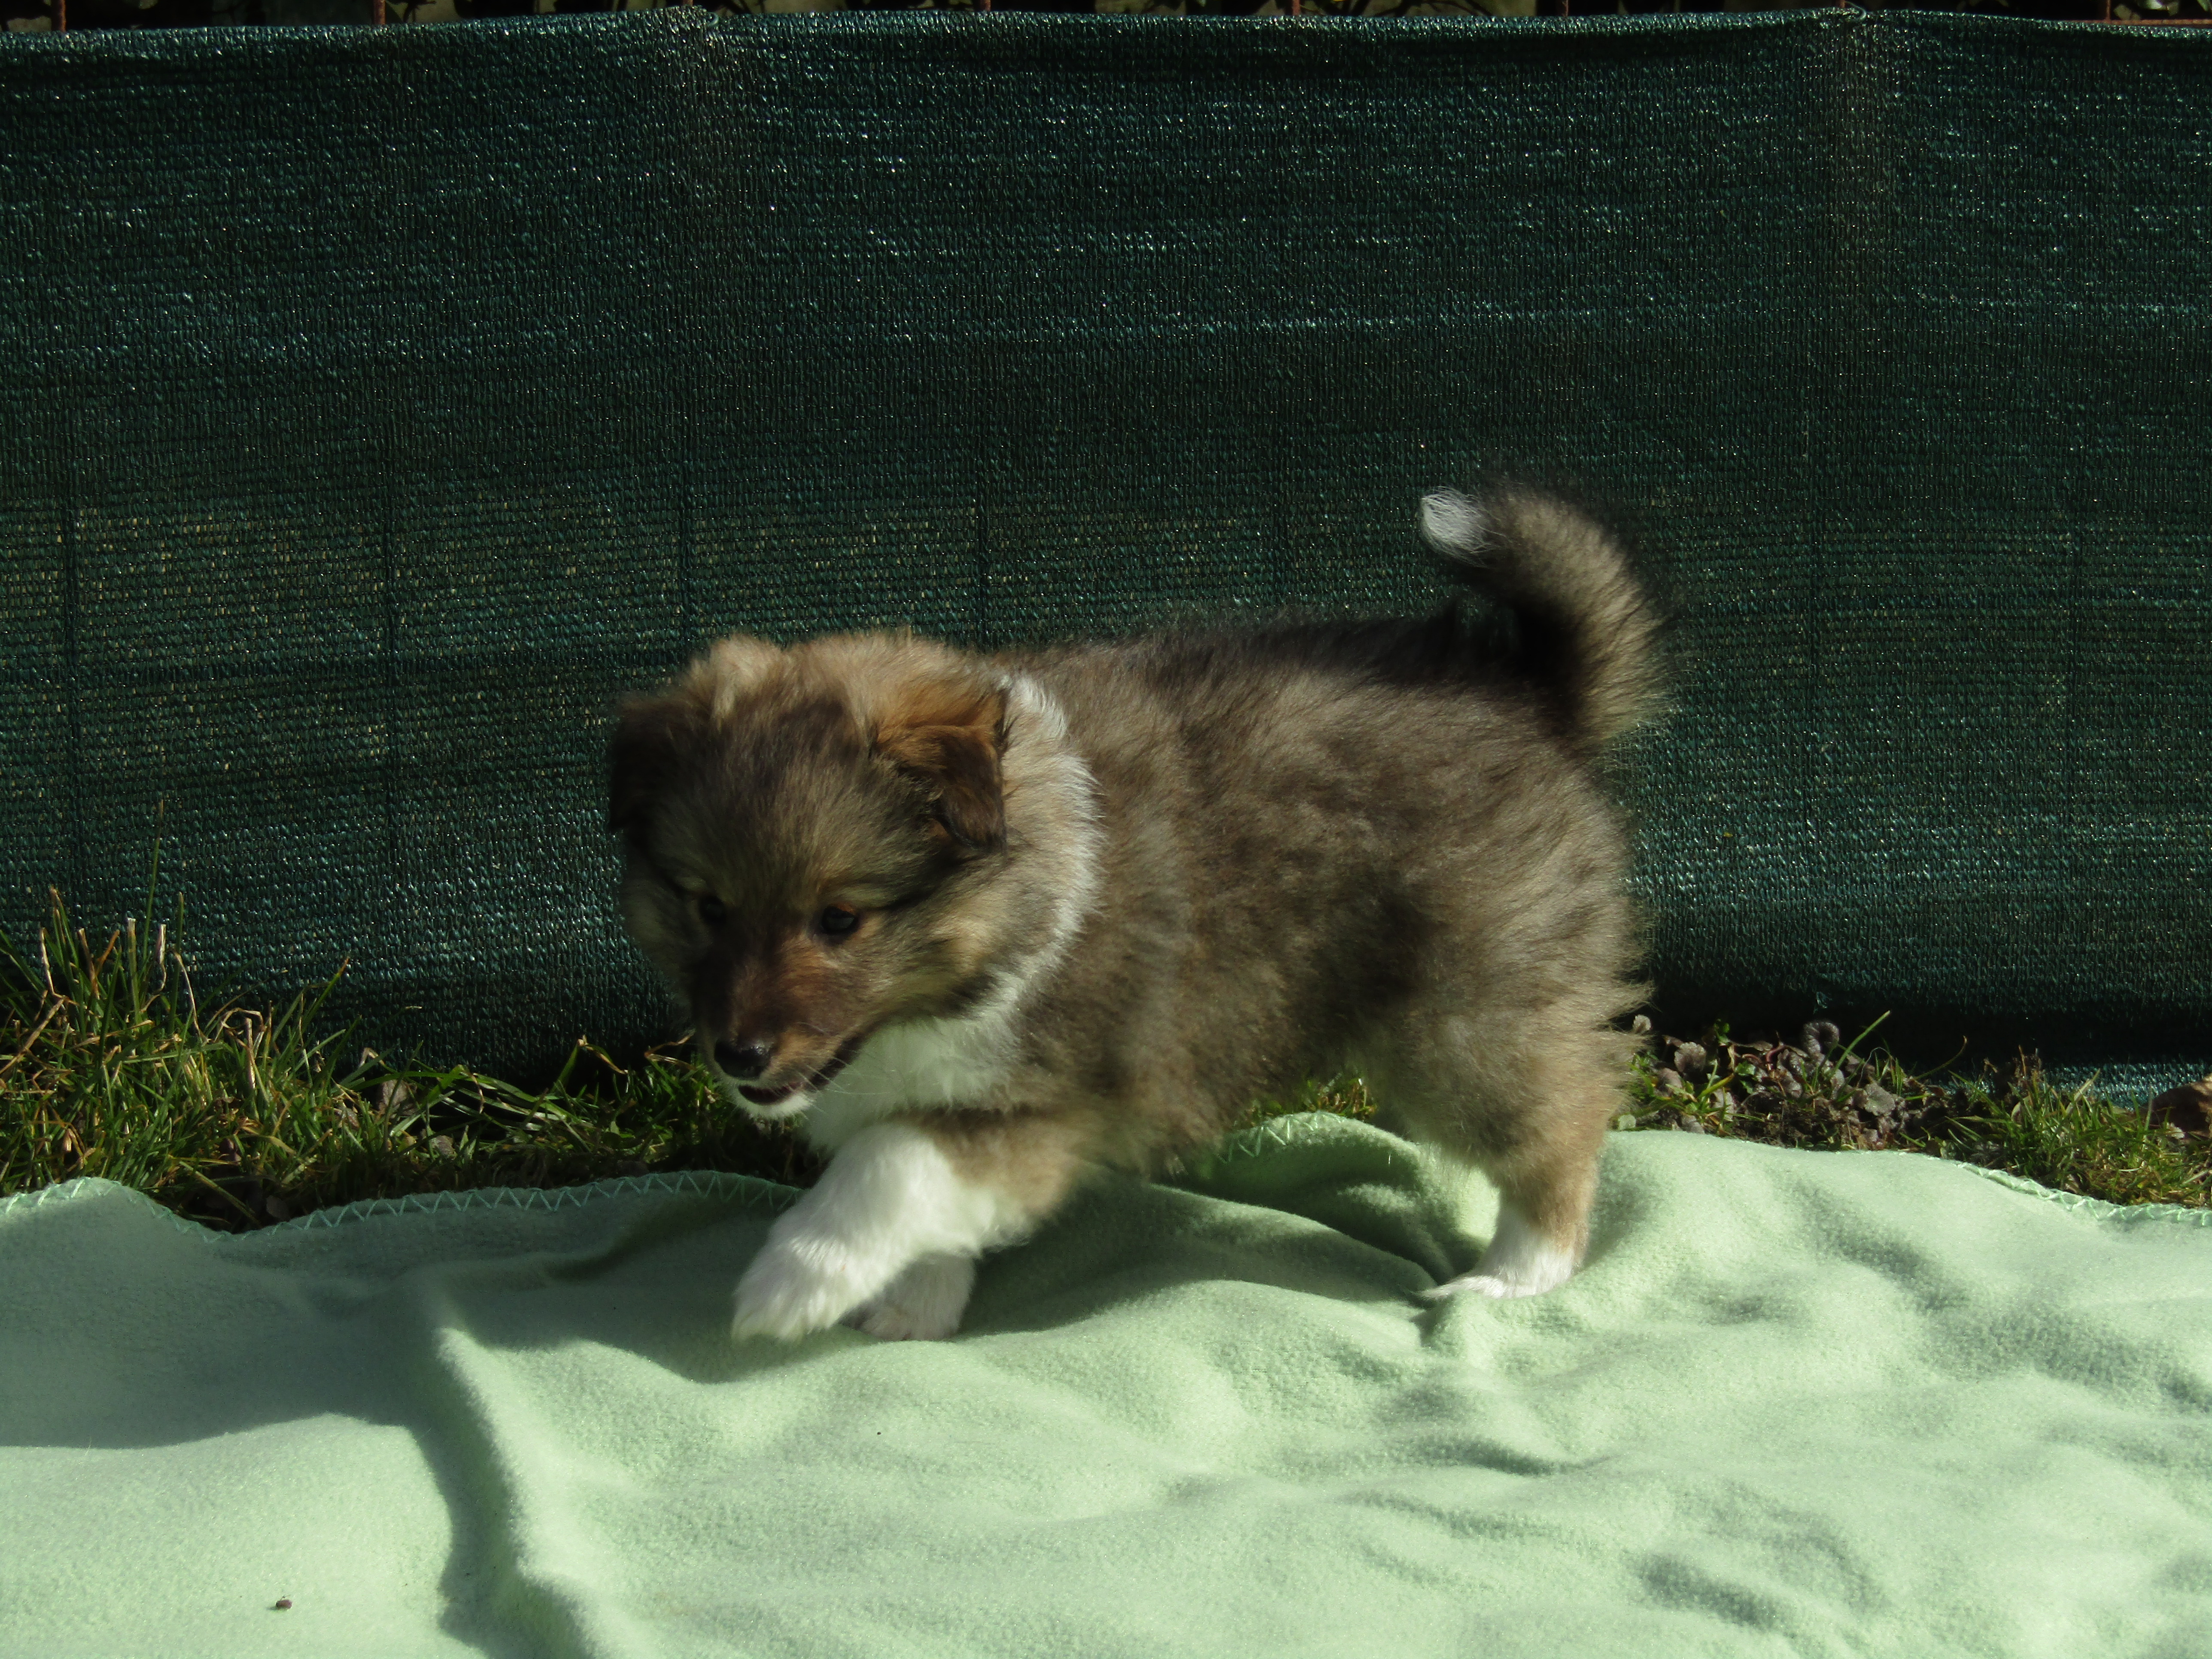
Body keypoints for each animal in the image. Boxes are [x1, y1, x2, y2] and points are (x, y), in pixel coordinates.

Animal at [606, 486, 1663, 1345]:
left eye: (837, 919)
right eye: (707, 906)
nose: (738, 1057)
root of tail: (1533, 694)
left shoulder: (1053, 1104)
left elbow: (890, 1163)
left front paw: (792, 1281)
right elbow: (919, 1187)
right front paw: (910, 1305)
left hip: (1467, 1014)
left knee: (1561, 1123)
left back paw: (1513, 1277)